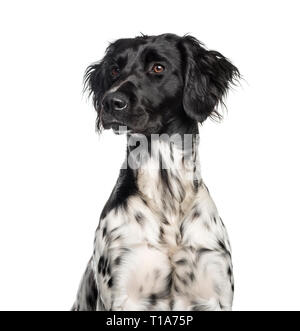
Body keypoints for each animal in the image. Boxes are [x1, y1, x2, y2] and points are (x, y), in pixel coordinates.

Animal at [72, 33, 239, 312]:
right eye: (115, 69)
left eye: (158, 68)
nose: (110, 102)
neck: (166, 193)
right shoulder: (122, 291)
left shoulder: (214, 291)